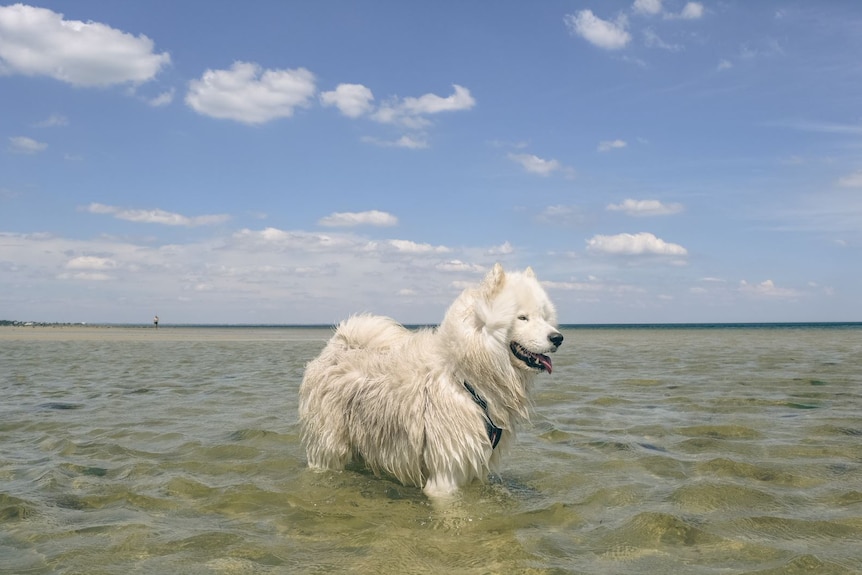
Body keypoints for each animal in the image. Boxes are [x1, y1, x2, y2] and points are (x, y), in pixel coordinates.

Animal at [300, 264, 564, 498]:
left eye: (544, 317)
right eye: (522, 318)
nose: (558, 338)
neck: (465, 377)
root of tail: (336, 345)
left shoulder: (476, 462)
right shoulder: (446, 473)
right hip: (330, 447)